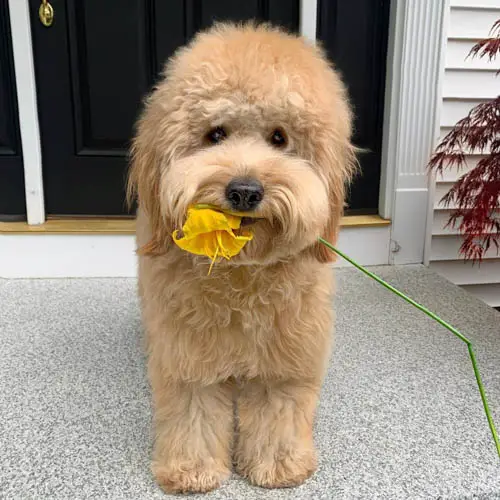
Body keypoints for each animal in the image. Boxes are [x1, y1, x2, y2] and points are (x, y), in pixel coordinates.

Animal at [128, 22, 356, 492]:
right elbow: (192, 409)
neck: (242, 273)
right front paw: (192, 469)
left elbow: (277, 409)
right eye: (215, 134)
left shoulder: (286, 356)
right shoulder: (188, 352)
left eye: (280, 137)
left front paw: (278, 464)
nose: (245, 191)